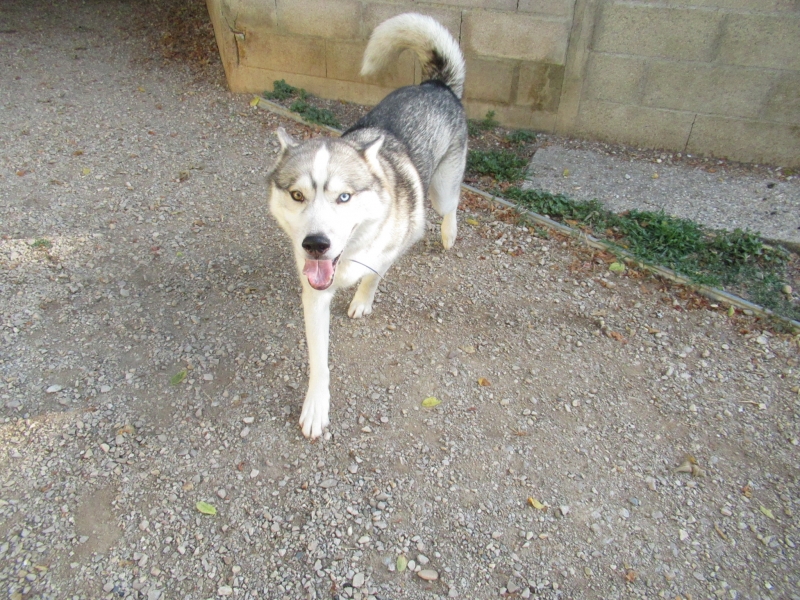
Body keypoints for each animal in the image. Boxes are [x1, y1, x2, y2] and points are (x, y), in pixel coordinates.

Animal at [267, 13, 467, 439]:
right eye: (297, 195)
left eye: (344, 197)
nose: (315, 244)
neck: (349, 256)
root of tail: (436, 85)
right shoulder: (314, 293)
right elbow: (319, 360)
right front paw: (316, 406)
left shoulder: (392, 248)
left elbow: (373, 276)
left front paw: (362, 299)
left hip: (442, 191)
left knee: (452, 205)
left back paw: (449, 232)